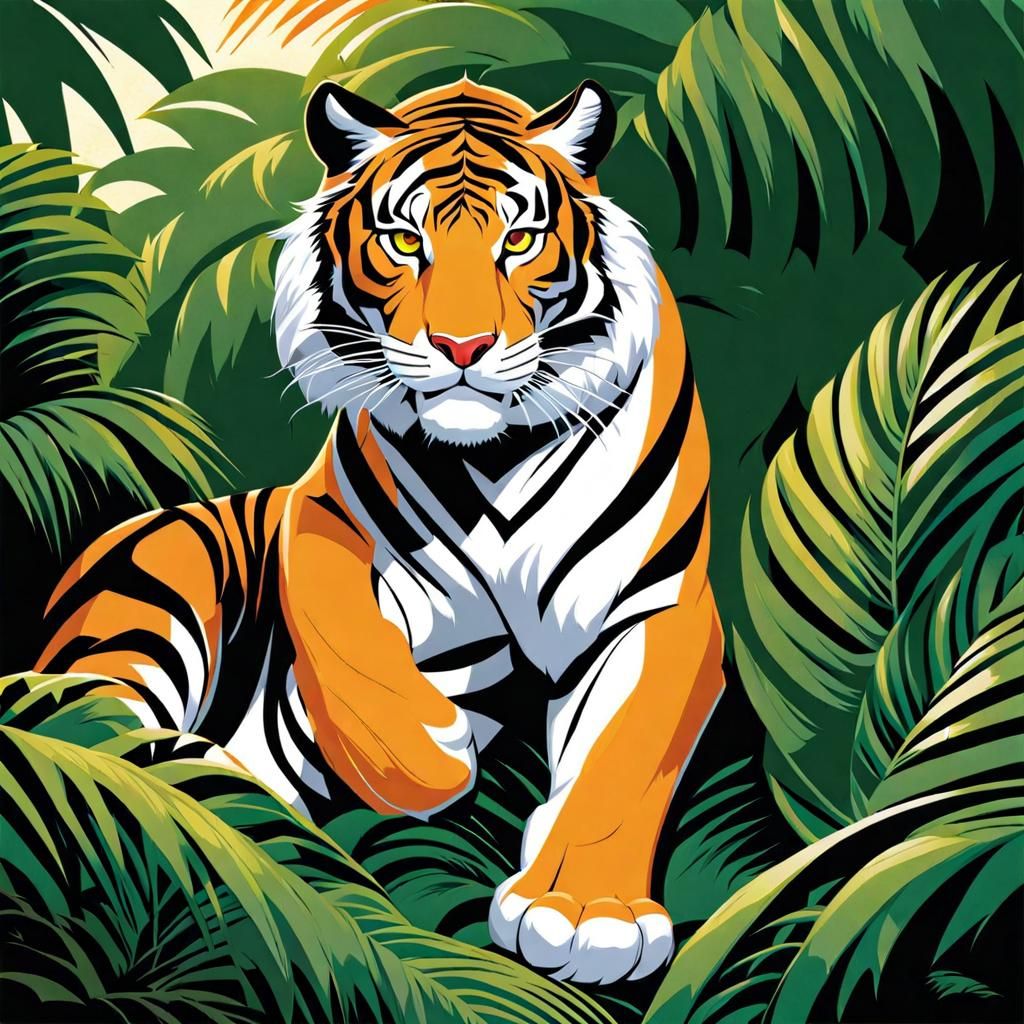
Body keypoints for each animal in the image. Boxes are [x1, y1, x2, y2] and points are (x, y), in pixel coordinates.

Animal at [36, 77, 725, 985]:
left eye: (518, 239)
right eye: (404, 241)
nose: (463, 346)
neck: (493, 455)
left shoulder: (657, 605)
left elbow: (621, 758)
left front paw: (582, 913)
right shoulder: (318, 518)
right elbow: (356, 660)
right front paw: (440, 743)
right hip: (156, 582)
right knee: (90, 723)